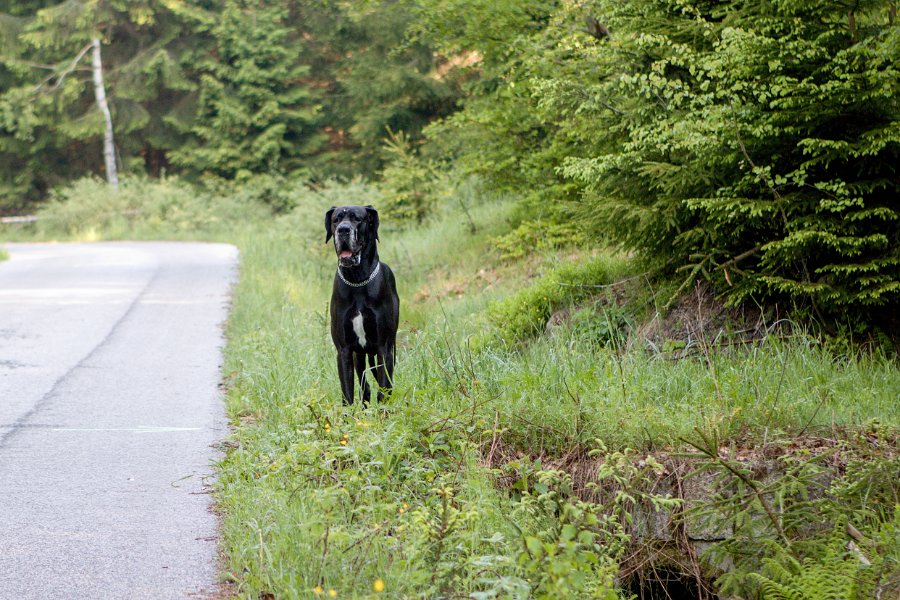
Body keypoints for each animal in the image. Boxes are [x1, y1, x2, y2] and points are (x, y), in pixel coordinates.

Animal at [326, 204, 400, 406]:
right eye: (336, 219)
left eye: (357, 218)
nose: (343, 230)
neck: (357, 281)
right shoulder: (344, 350)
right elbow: (347, 393)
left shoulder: (384, 348)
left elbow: (384, 389)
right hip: (358, 355)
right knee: (364, 385)